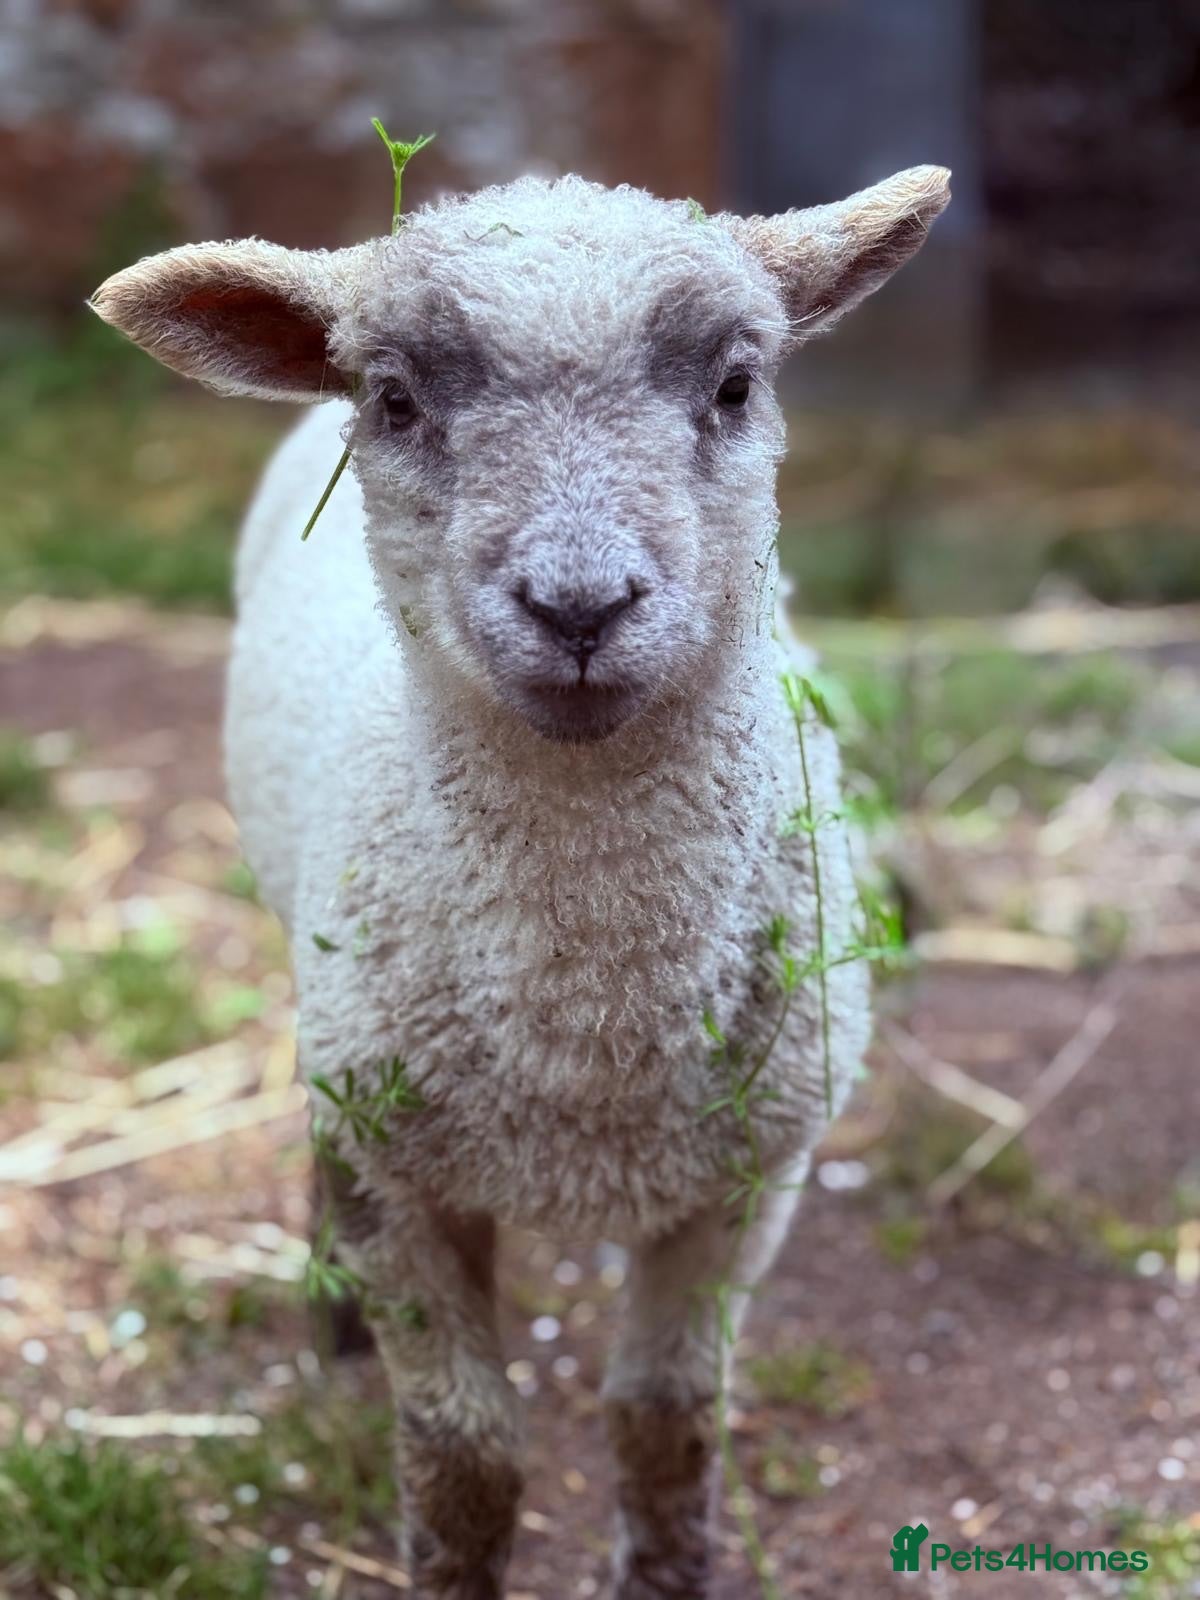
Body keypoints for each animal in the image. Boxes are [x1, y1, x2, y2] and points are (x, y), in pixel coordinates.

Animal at [90, 163, 949, 1599]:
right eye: (394, 399)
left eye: (735, 384)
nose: (580, 605)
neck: (589, 1036)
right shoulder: (402, 1173)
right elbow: (465, 1452)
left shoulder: (745, 1178)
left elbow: (666, 1422)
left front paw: (665, 1568)